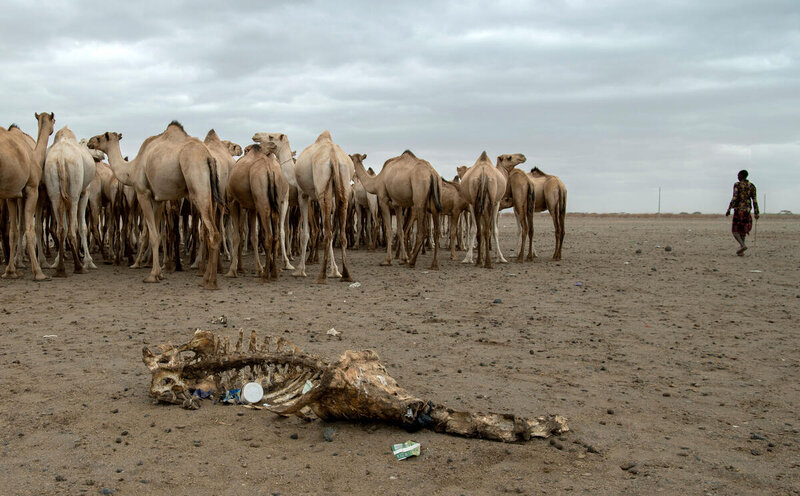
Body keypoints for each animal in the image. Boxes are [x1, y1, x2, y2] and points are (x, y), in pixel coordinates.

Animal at [0, 112, 55, 280]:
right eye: (54, 120)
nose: (52, 129)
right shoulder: (32, 190)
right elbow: (31, 228)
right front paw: (38, 271)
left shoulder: (12, 195)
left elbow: (14, 230)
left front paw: (10, 271)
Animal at [43, 126, 97, 275]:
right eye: (90, 144)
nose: (101, 154)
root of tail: (61, 157)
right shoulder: (84, 193)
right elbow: (82, 227)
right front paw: (88, 261)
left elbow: (65, 227)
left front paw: (56, 261)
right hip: (74, 192)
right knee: (72, 228)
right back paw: (79, 267)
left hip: (54, 191)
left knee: (61, 228)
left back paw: (60, 268)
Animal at [87, 122, 222, 289]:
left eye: (100, 137)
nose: (90, 141)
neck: (131, 169)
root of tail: (208, 157)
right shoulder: (158, 199)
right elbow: (156, 234)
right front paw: (159, 273)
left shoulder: (143, 193)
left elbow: (152, 235)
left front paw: (152, 275)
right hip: (211, 193)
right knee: (213, 232)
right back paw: (205, 279)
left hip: (197, 187)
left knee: (213, 233)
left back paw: (211, 282)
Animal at [225, 143, 288, 280]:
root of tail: (269, 170)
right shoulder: (252, 207)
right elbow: (253, 236)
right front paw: (258, 268)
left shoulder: (233, 201)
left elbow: (237, 235)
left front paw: (232, 271)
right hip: (274, 202)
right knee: (274, 236)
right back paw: (274, 272)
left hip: (261, 201)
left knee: (268, 236)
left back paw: (266, 274)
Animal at [254, 131, 353, 284]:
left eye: (271, 136)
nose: (256, 135)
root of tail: (334, 156)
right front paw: (335, 271)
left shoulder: (303, 195)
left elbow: (304, 233)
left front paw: (300, 270)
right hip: (343, 186)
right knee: (339, 234)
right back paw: (346, 275)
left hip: (322, 188)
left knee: (326, 232)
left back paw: (321, 276)